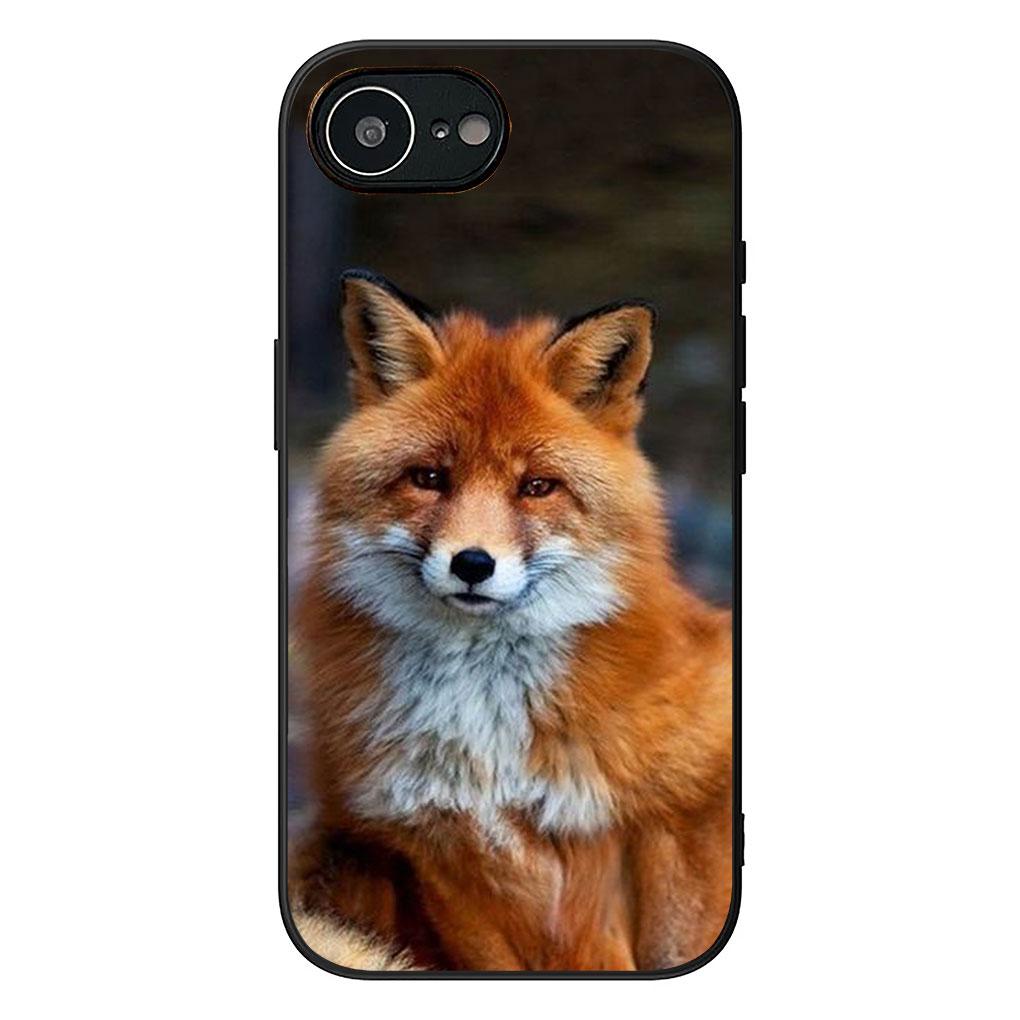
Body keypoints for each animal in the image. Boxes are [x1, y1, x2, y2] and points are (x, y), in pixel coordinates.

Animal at [288, 269, 733, 972]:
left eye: (537, 487)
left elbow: (680, 935)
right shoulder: (439, 854)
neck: (492, 744)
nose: (473, 563)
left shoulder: (678, 808)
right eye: (429, 478)